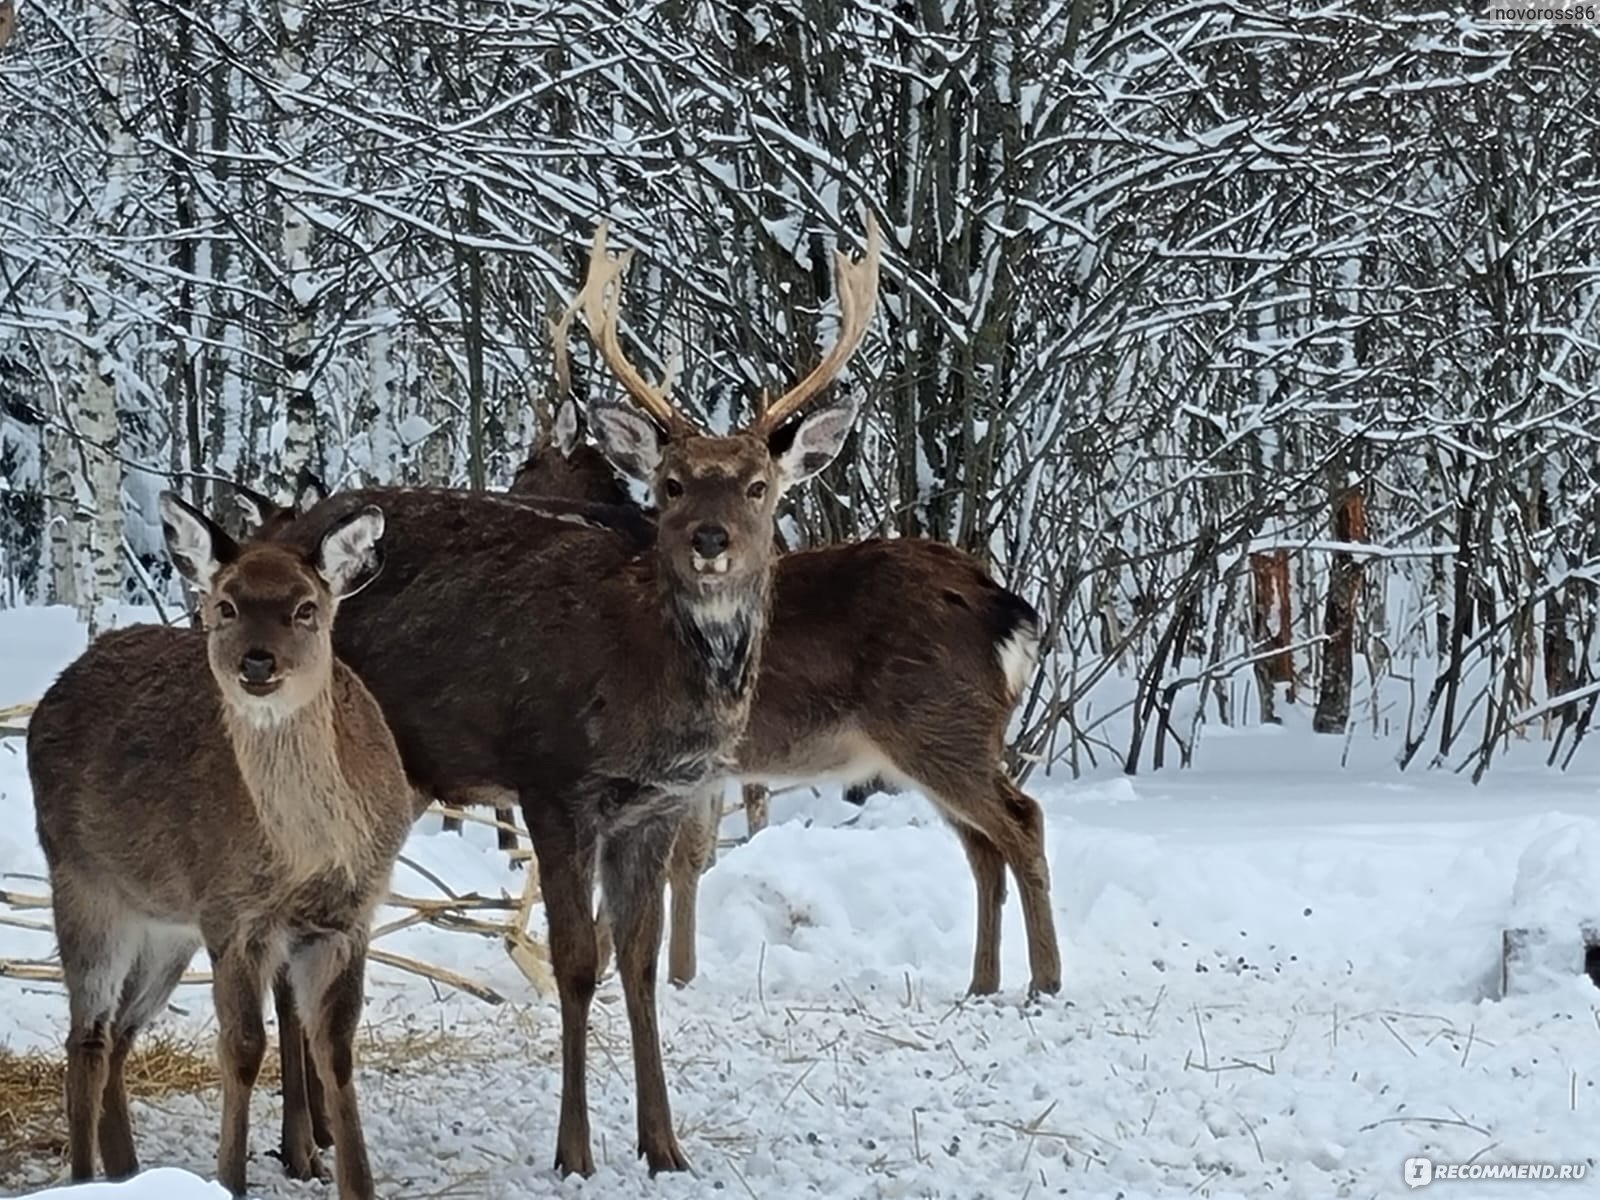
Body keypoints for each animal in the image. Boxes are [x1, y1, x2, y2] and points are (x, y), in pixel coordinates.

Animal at [267, 216, 883, 1177]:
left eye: (758, 484)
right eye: (672, 482)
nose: (710, 540)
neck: (645, 684)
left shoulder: (656, 804)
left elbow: (639, 960)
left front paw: (665, 1146)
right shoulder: (553, 782)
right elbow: (576, 961)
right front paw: (575, 1151)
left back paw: (320, 1133)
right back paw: (299, 1147)